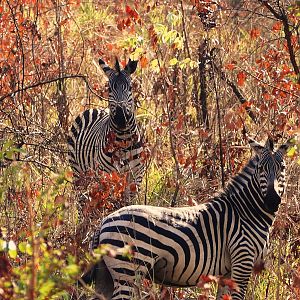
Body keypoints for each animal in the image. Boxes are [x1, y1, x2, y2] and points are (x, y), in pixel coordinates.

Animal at [66, 58, 145, 204]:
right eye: (109, 89)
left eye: (130, 88)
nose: (120, 117)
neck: (124, 141)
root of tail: (92, 109)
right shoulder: (107, 176)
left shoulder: (135, 177)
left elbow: (127, 204)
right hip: (78, 173)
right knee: (82, 201)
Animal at [79, 137, 292, 298]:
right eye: (261, 169)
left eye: (282, 168)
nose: (272, 201)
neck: (246, 212)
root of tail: (104, 222)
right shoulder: (242, 259)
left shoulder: (228, 271)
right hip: (128, 273)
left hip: (107, 276)